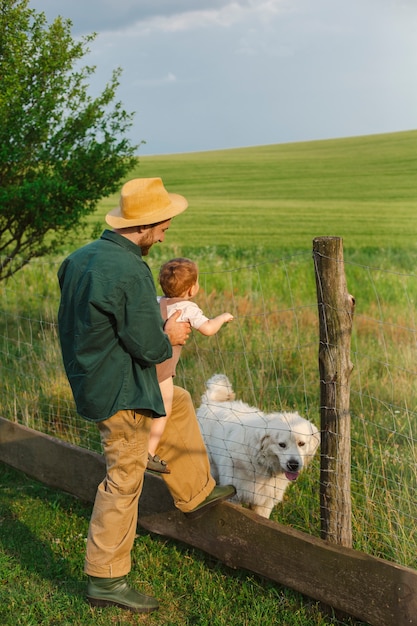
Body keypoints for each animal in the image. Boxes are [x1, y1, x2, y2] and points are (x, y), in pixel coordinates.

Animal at [197, 372, 320, 516]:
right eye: (281, 445)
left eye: (301, 443)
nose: (293, 465)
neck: (261, 462)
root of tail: (210, 402)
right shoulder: (235, 497)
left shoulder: (264, 503)